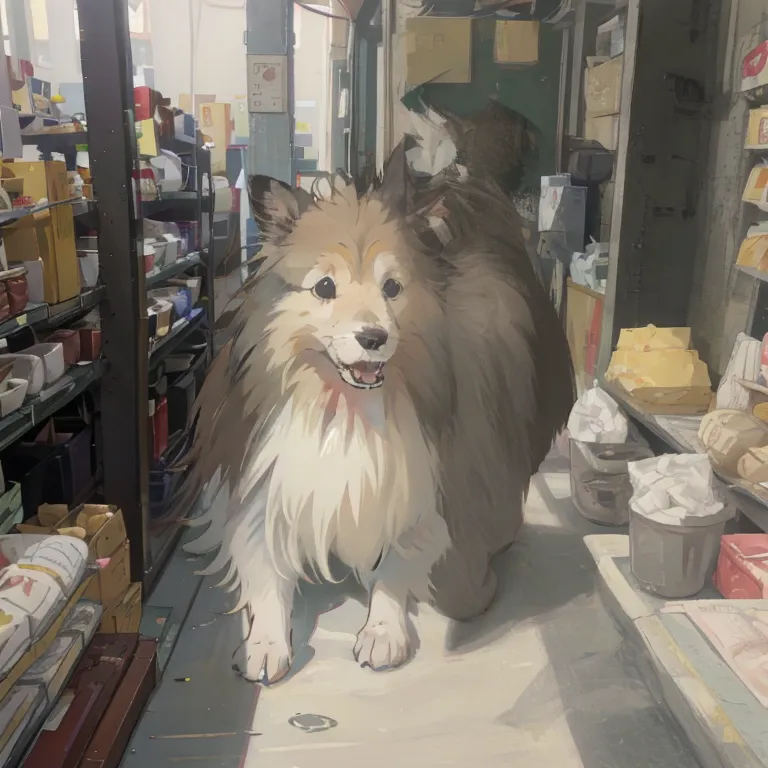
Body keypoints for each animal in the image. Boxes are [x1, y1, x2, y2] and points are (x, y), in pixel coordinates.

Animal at [177, 142, 572, 684]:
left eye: (392, 288)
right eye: (324, 287)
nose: (374, 337)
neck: (344, 411)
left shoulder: (418, 495)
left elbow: (399, 566)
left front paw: (383, 629)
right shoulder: (265, 489)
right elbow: (266, 572)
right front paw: (265, 642)